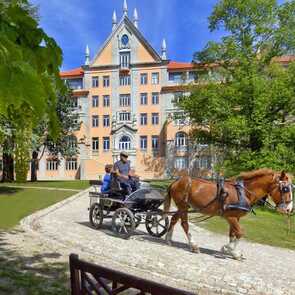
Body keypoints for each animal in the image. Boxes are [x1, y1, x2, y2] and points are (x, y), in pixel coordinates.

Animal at [164, 170, 294, 260]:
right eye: (285, 189)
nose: (289, 209)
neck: (243, 192)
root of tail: (176, 181)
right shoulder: (230, 217)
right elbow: (240, 233)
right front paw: (229, 249)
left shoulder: (236, 217)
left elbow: (233, 234)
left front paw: (232, 252)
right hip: (183, 207)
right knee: (184, 224)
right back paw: (194, 245)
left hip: (182, 207)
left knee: (174, 219)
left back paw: (168, 239)